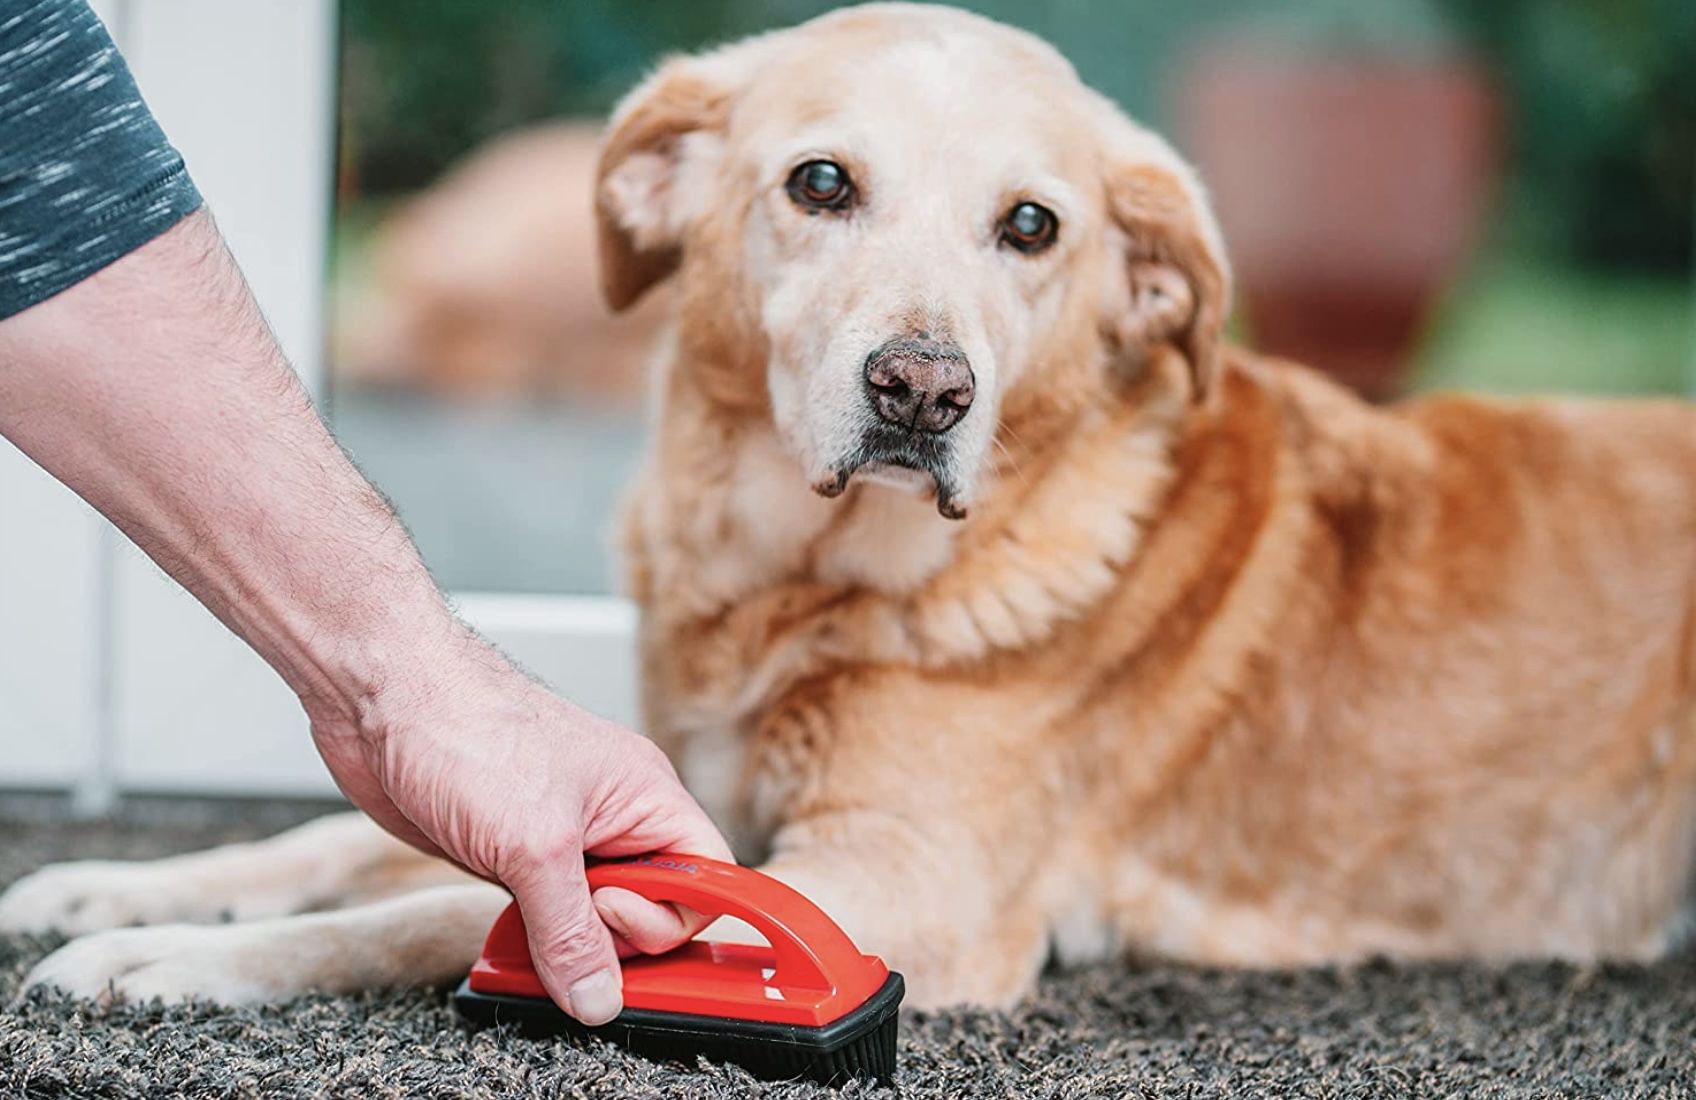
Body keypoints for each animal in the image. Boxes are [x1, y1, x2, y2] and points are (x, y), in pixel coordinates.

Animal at [3, 2, 1696, 1010]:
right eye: (822, 184)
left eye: (1033, 226)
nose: (923, 393)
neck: (790, 586)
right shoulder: (683, 790)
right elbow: (344, 840)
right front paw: (128, 884)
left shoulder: (900, 881)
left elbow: (447, 903)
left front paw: (169, 954)